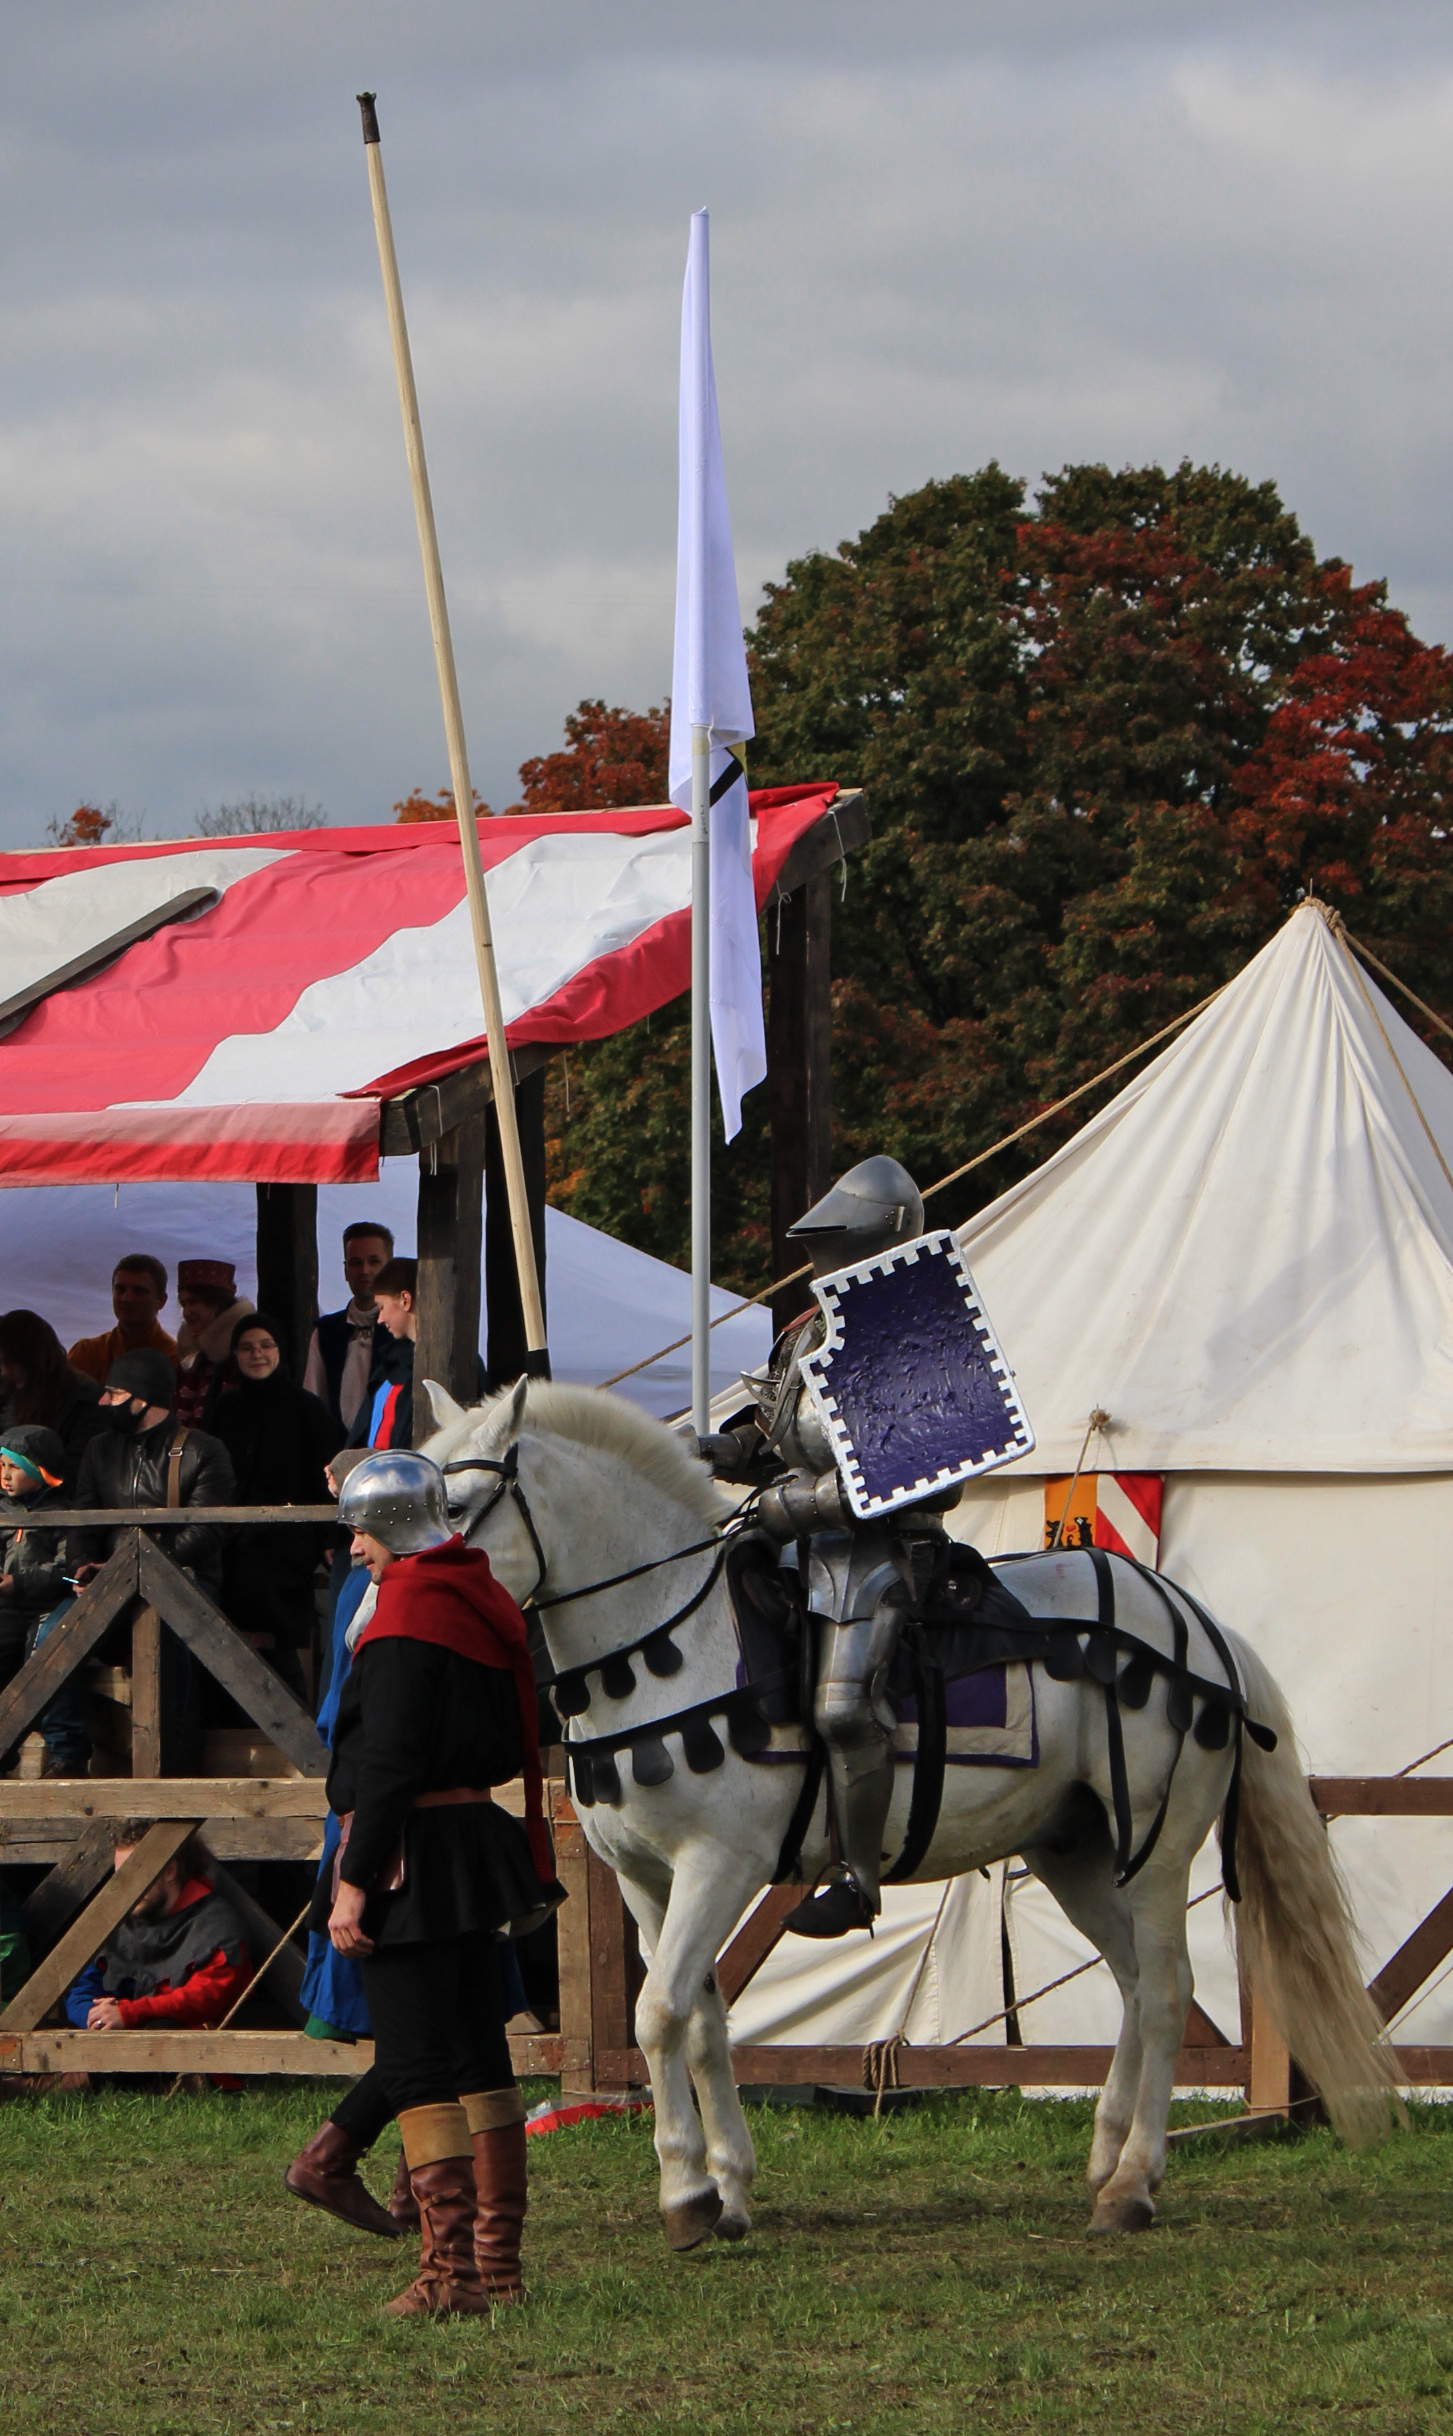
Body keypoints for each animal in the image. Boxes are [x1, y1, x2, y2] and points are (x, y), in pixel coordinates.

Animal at [429, 1373, 1394, 2241]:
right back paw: (1107, 2162)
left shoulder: (718, 1867)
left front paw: (687, 2200)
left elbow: (659, 2013)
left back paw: (1130, 2189)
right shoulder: (645, 1879)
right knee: (1129, 1982)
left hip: (1154, 1851)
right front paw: (727, 2189)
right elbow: (699, 2021)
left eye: (458, 1506)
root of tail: (1199, 1624)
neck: (674, 1639)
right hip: (1072, 1849)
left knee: (1162, 1991)